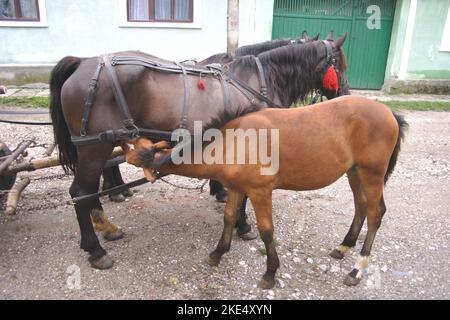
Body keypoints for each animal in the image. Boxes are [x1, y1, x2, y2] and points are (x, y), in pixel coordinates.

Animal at [122, 96, 408, 288]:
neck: (234, 140)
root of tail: (389, 112)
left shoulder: (260, 193)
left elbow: (267, 232)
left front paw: (270, 273)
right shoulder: (237, 188)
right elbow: (228, 218)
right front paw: (218, 253)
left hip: (372, 174)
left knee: (374, 214)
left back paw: (357, 270)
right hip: (354, 172)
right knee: (361, 207)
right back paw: (344, 246)